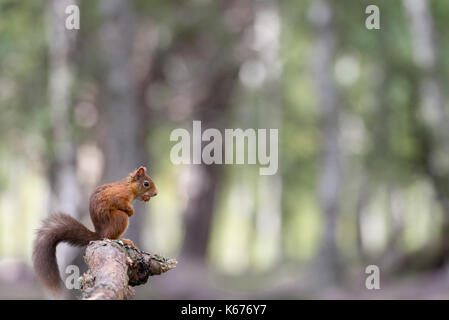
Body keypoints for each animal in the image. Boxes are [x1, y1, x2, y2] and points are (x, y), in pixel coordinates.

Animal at [32, 168, 158, 296]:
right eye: (146, 184)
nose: (155, 193)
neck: (129, 187)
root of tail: (99, 234)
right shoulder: (119, 194)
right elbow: (119, 202)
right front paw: (131, 211)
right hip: (120, 218)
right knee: (110, 235)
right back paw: (123, 240)